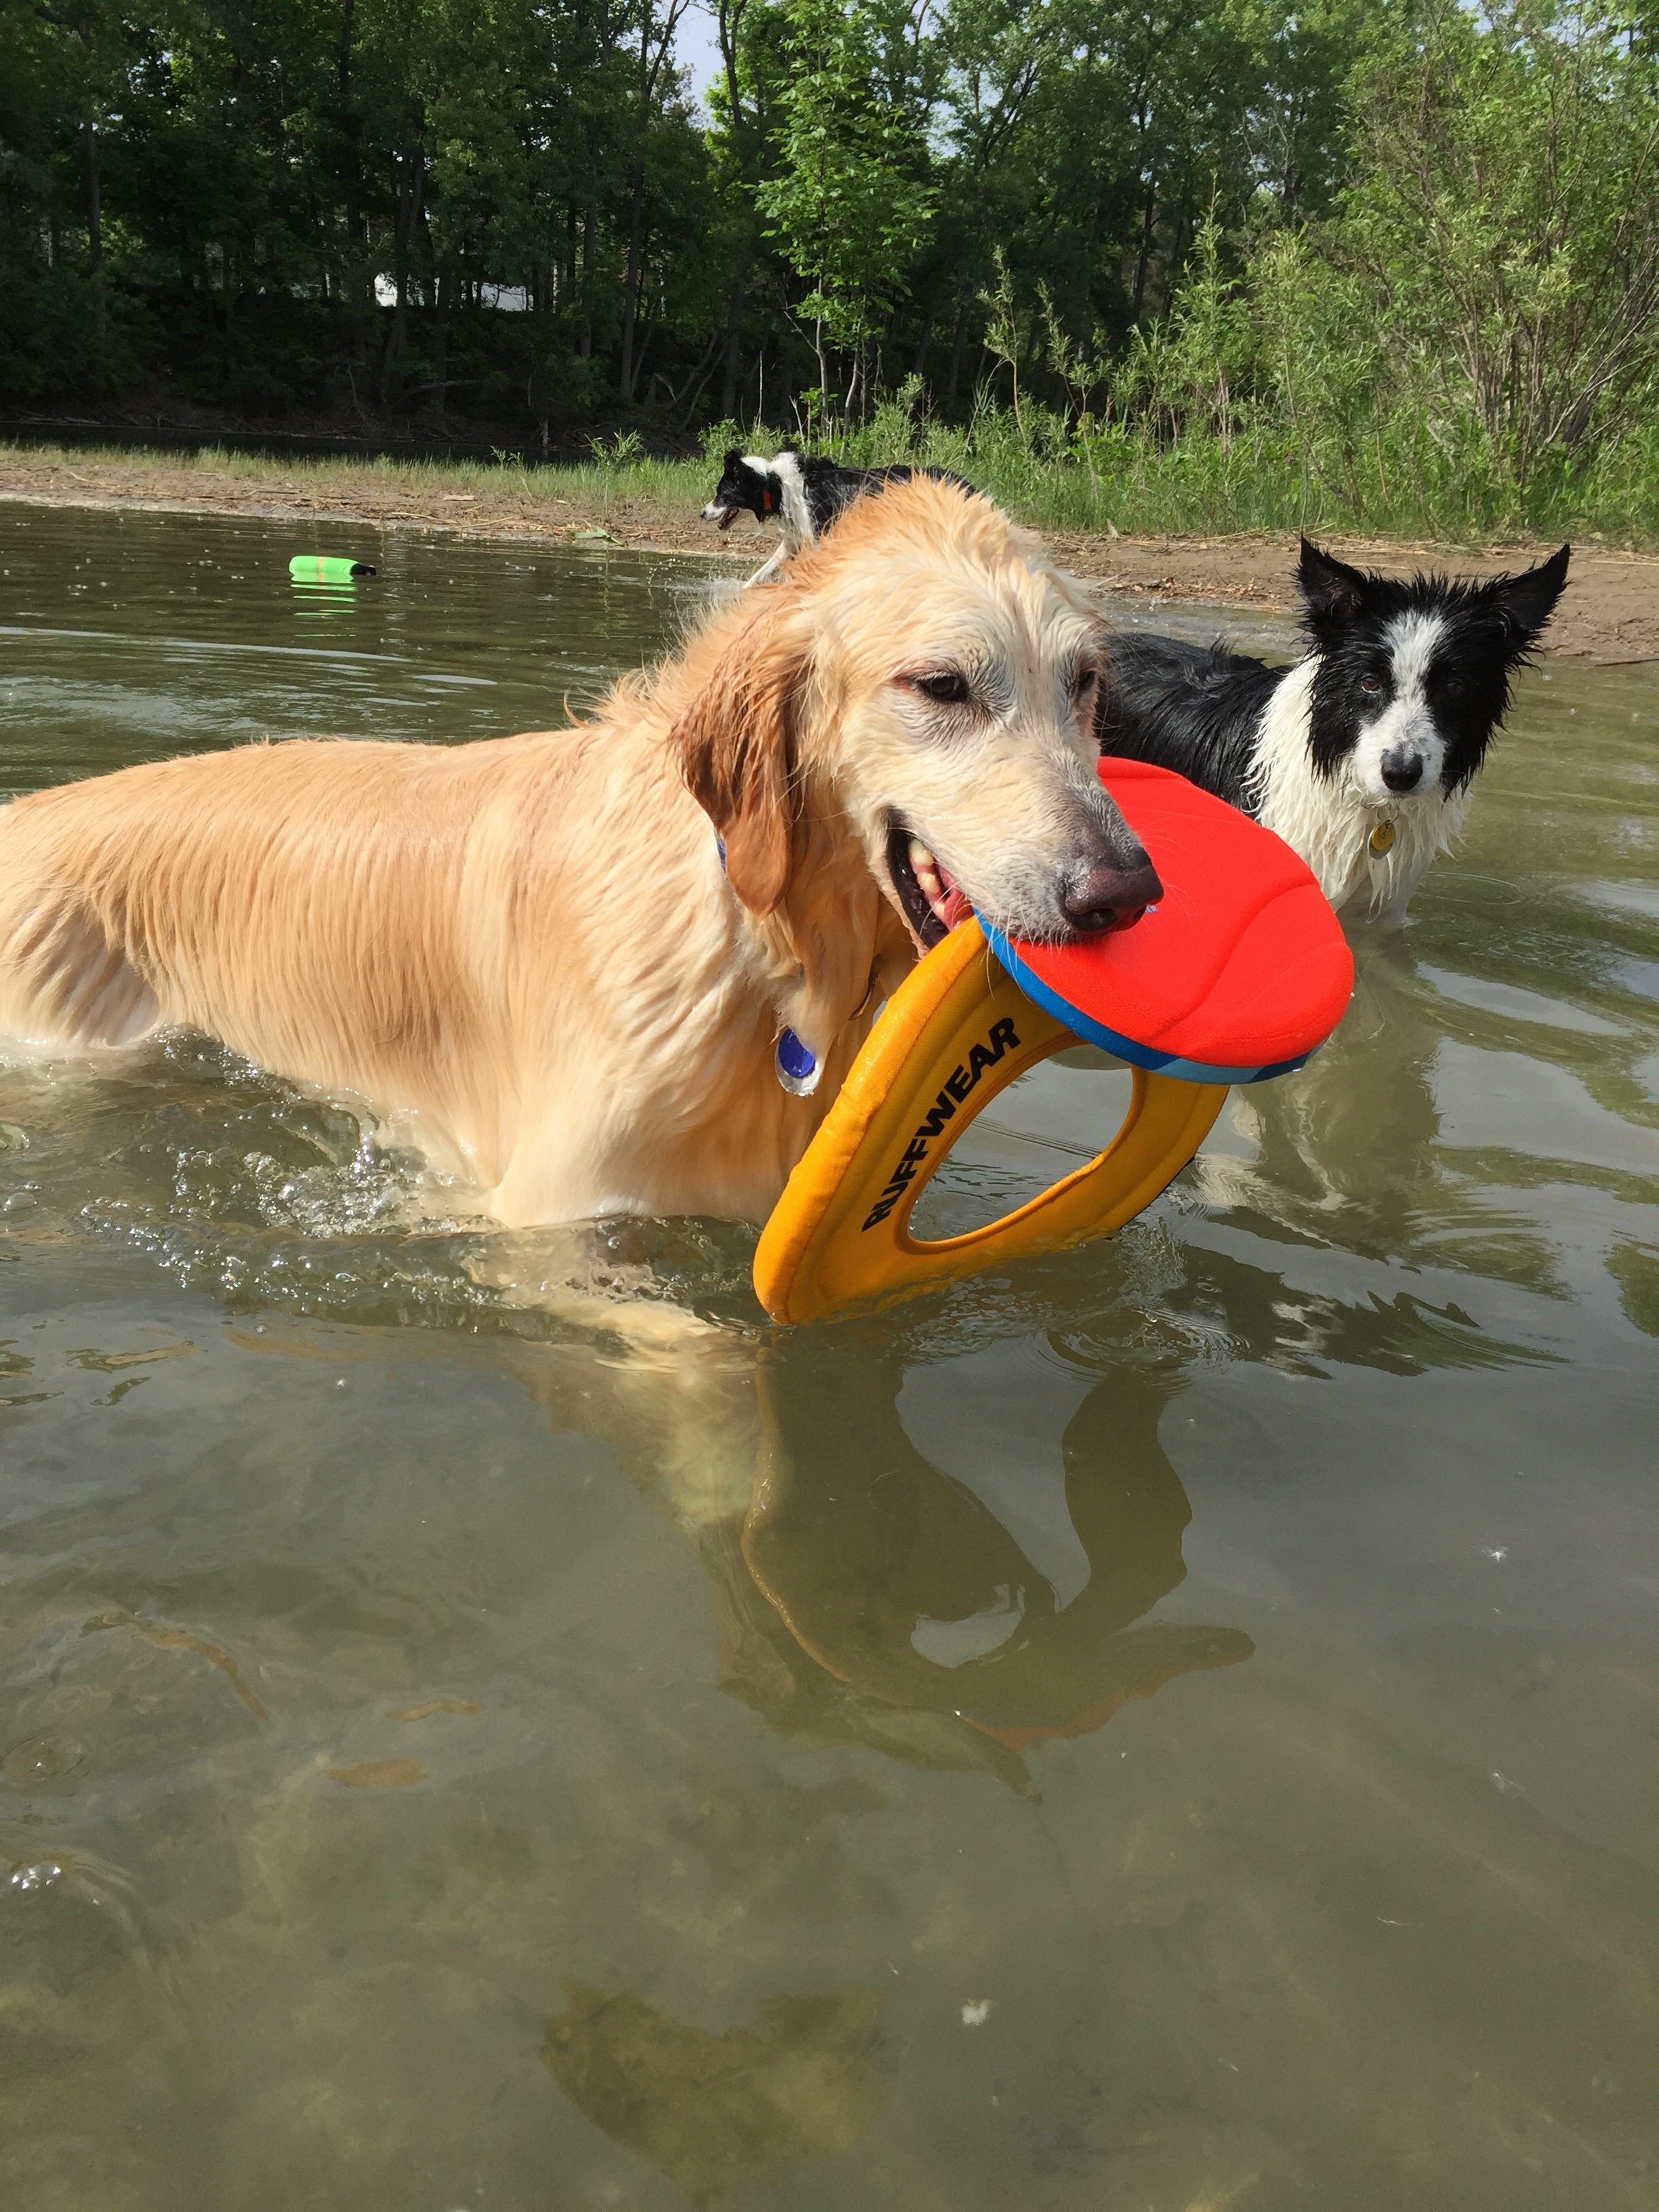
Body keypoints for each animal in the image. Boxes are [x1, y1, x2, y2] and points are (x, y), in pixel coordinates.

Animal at [703, 447, 973, 588]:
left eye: (721, 493)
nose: (702, 513)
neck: (776, 485)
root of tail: (966, 484)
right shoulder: (795, 540)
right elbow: (761, 573)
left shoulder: (818, 537)